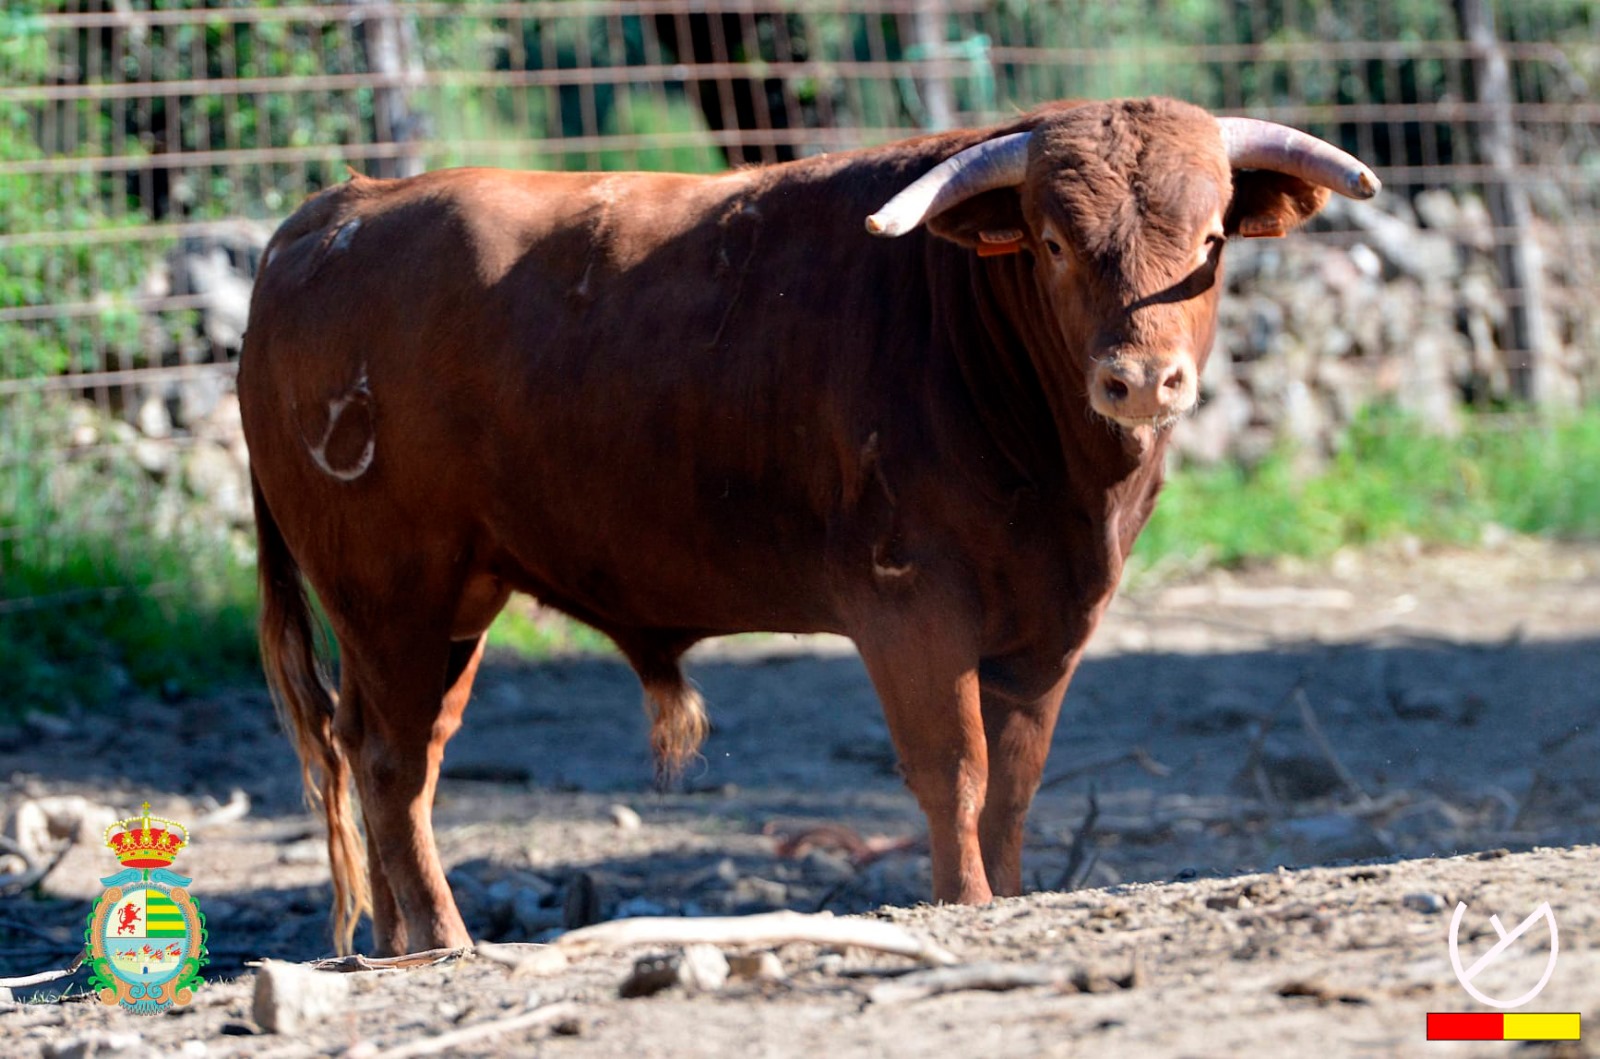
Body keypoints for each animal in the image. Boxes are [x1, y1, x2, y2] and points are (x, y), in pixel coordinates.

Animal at [236, 97, 1376, 953]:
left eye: (1212, 238)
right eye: (1054, 241)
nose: (1139, 379)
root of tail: (336, 209)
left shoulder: (1049, 622)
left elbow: (1013, 781)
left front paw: (1008, 893)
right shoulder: (908, 603)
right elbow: (954, 767)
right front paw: (965, 902)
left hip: (450, 599)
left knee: (390, 745)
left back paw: (395, 937)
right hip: (391, 587)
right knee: (390, 759)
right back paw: (441, 937)